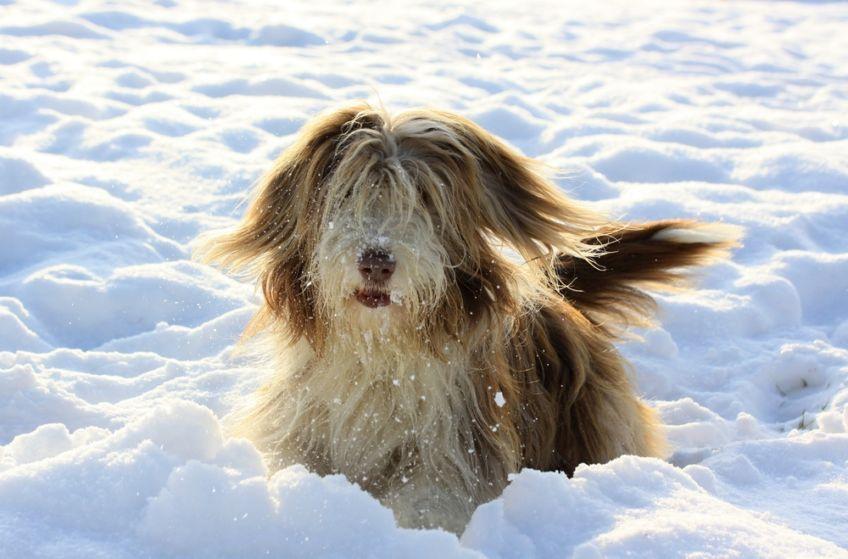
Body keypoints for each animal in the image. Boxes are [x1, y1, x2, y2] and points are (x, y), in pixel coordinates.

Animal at [197, 103, 736, 536]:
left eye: (423, 199)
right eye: (346, 194)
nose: (376, 261)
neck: (382, 349)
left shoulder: (455, 450)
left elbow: (429, 502)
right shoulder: (304, 427)